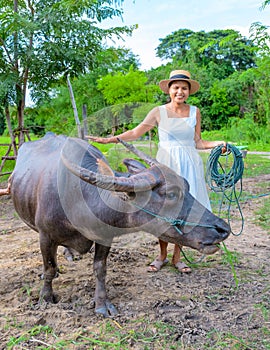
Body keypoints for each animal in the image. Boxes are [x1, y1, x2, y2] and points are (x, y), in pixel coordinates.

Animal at [10, 132, 230, 318]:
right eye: (171, 194)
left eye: (188, 186)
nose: (223, 229)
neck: (78, 198)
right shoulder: (45, 236)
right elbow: (48, 267)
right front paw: (45, 298)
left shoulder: (105, 237)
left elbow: (100, 269)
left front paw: (102, 304)